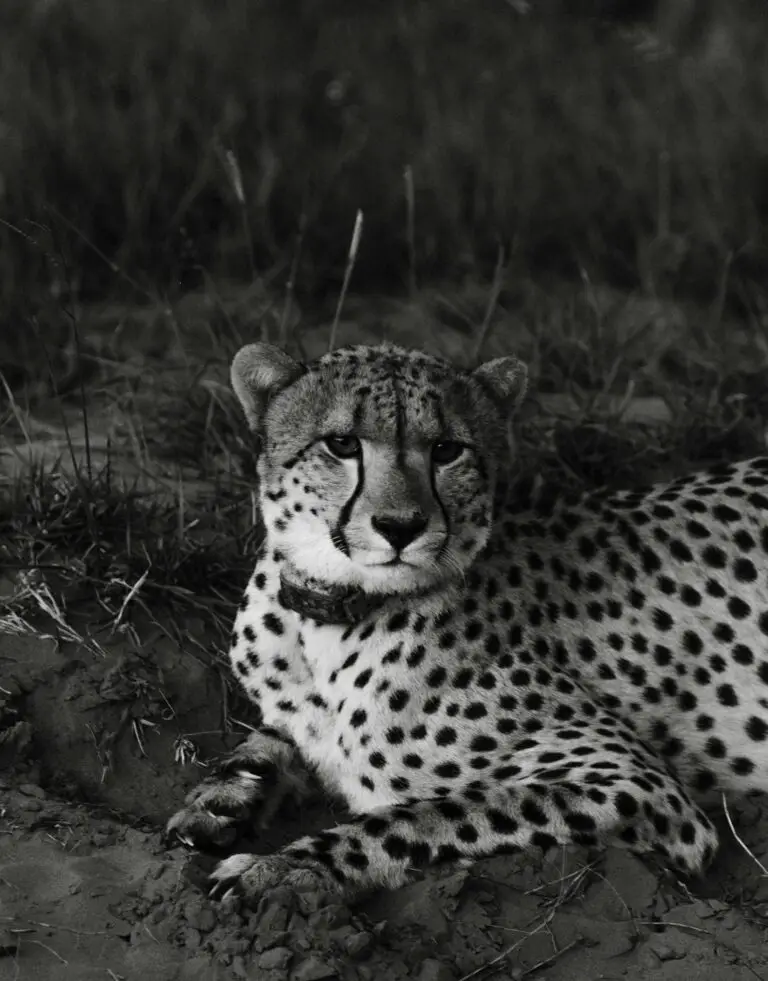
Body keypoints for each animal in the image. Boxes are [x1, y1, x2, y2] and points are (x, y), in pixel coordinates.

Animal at [168, 342, 768, 904]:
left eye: (446, 450)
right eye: (341, 444)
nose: (401, 526)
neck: (329, 614)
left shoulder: (636, 784)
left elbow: (421, 816)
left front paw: (286, 867)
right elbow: (270, 739)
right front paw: (222, 797)